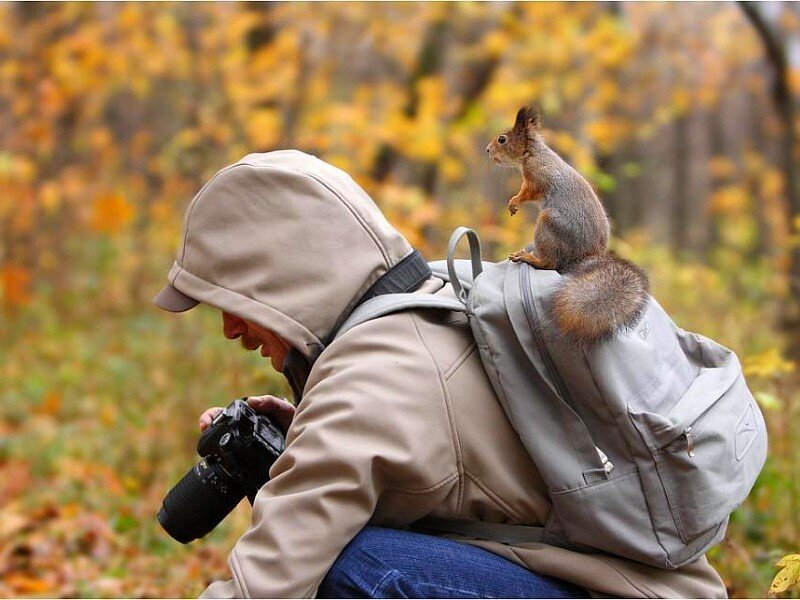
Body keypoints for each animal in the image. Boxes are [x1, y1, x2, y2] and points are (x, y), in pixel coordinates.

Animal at [486, 106, 650, 345]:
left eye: (502, 139)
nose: (487, 150)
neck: (532, 153)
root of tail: (585, 257)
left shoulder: (537, 178)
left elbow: (526, 192)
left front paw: (514, 202)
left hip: (549, 224)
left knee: (550, 263)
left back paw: (529, 257)